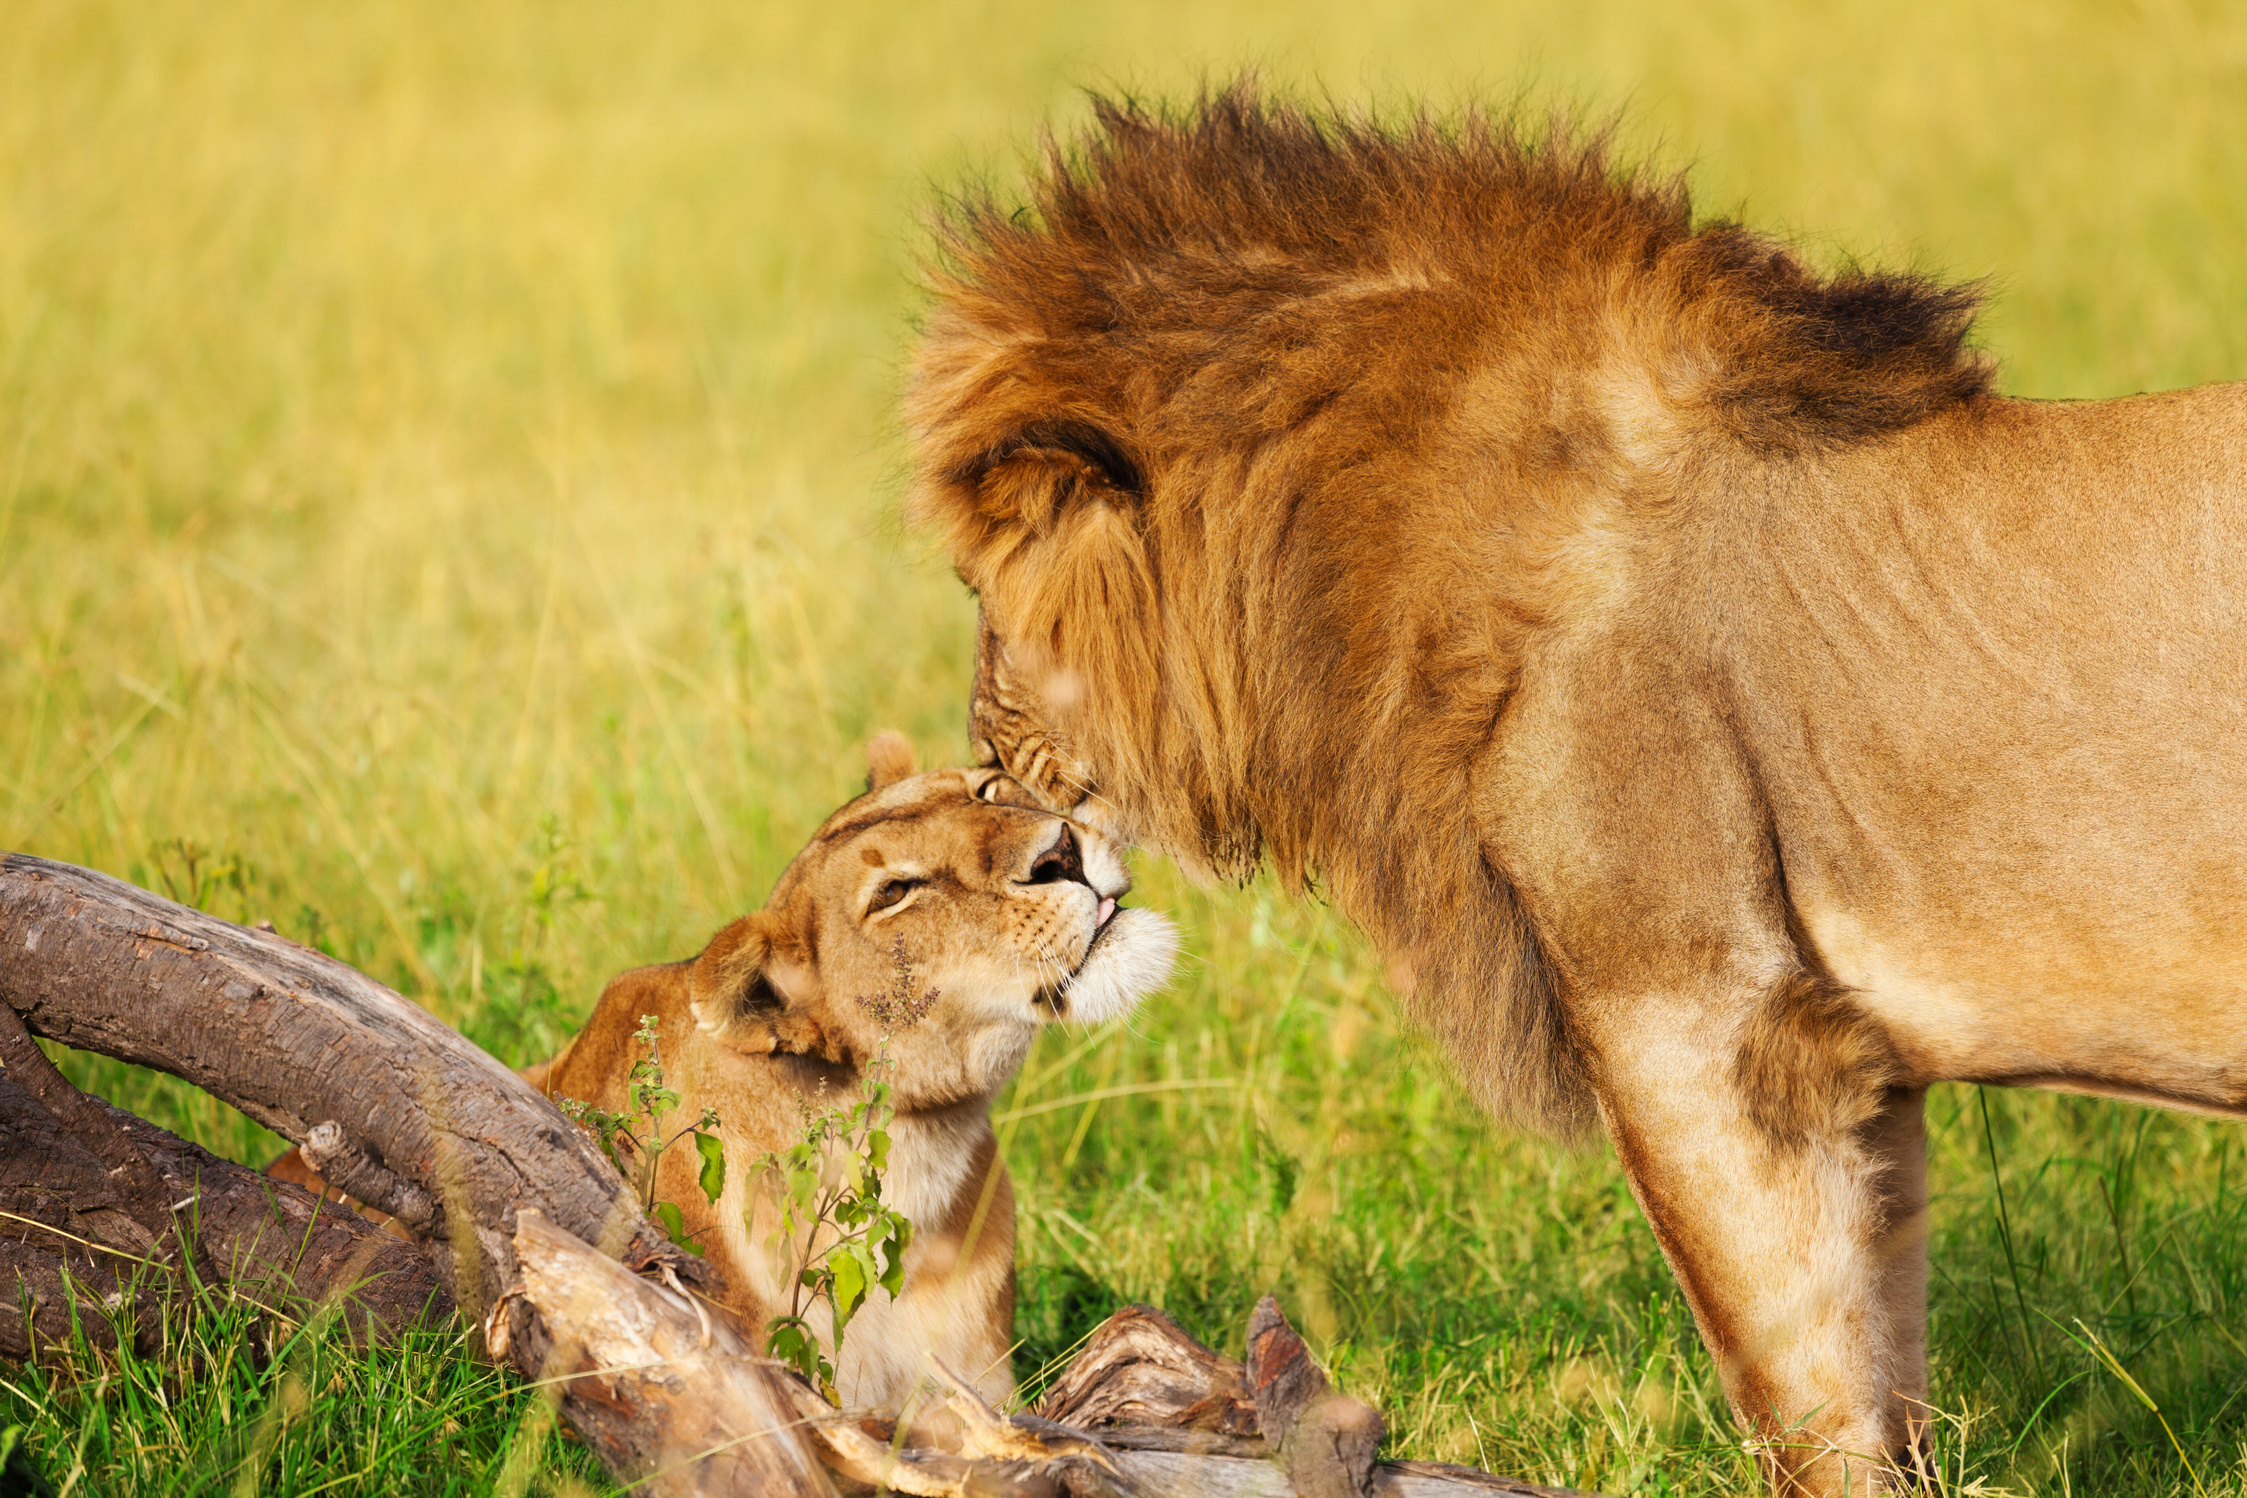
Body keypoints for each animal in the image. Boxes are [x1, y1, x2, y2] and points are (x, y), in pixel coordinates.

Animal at [903, 88, 2247, 1491]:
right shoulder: (1852, 1059)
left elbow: (1797, 1376)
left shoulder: (1706, 1008)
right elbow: (1886, 1356)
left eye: (979, 593)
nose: (981, 763)